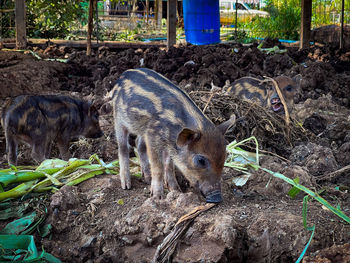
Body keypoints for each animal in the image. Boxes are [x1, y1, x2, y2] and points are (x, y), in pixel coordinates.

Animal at [113, 68, 235, 204]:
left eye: (225, 156)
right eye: (200, 160)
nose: (217, 198)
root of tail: (124, 74)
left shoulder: (167, 143)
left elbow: (168, 164)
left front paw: (176, 191)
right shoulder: (152, 136)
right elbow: (158, 167)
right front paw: (157, 197)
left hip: (141, 129)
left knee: (139, 144)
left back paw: (147, 179)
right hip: (118, 118)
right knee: (123, 148)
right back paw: (126, 185)